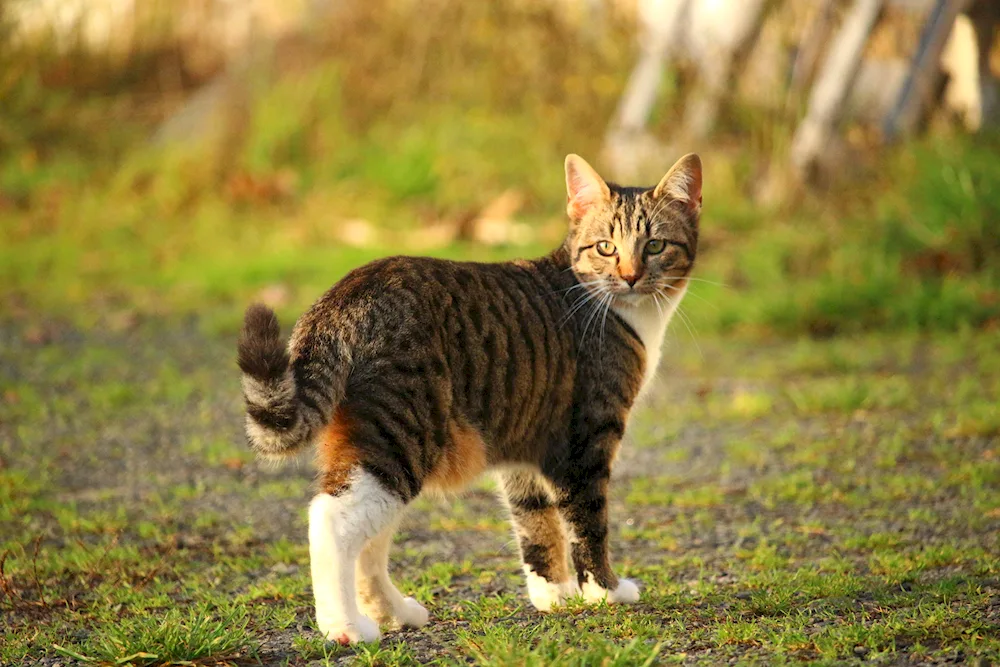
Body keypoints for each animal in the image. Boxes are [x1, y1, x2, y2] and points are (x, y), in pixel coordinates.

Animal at [237, 153, 700, 648]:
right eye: (606, 248)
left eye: (655, 246)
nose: (631, 276)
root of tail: (346, 294)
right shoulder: (587, 439)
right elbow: (588, 523)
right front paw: (605, 592)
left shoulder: (526, 442)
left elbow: (535, 524)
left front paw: (554, 595)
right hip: (401, 435)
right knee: (332, 520)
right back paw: (343, 626)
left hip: (377, 443)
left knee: (370, 536)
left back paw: (393, 612)